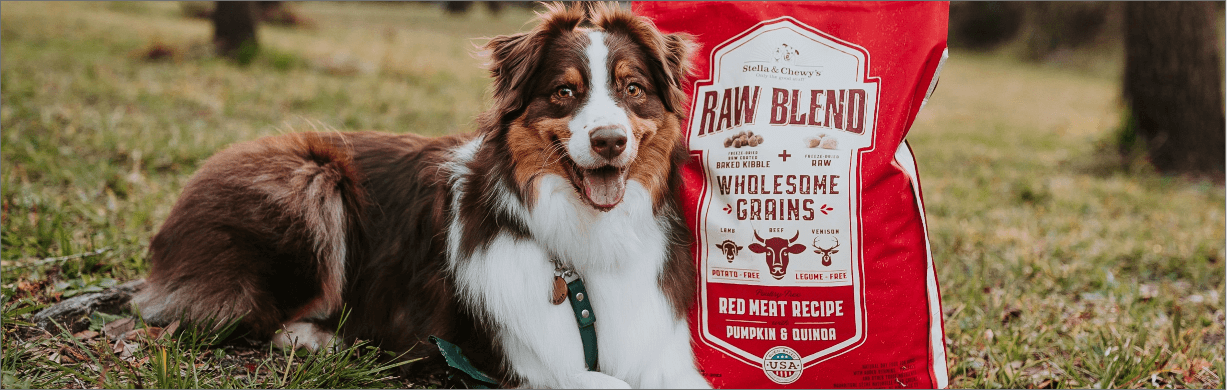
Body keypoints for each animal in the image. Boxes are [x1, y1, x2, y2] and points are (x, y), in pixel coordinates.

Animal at [131, 3, 711, 389]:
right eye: (564, 92)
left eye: (633, 89)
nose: (609, 141)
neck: (585, 245)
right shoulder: (529, 363)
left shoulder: (660, 351)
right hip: (313, 181)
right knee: (255, 316)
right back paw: (319, 338)